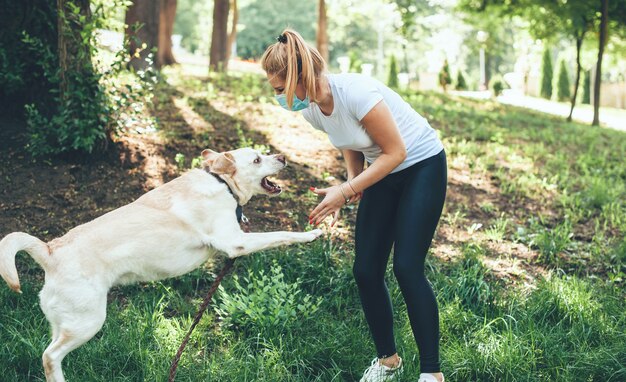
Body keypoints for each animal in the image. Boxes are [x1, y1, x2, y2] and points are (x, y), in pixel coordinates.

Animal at [0, 147, 322, 382]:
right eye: (257, 159)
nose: (282, 157)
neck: (223, 184)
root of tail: (49, 251)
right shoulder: (235, 242)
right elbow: (279, 235)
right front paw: (310, 234)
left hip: (65, 322)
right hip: (87, 322)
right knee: (49, 356)